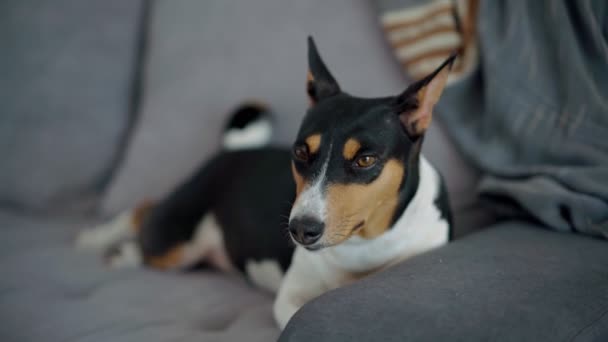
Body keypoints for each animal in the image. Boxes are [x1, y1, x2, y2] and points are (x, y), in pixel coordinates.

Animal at [76, 36, 454, 328]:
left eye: (365, 160)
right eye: (300, 152)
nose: (300, 230)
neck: (364, 245)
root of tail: (233, 150)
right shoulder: (291, 299)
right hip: (175, 240)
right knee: (144, 213)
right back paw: (102, 242)